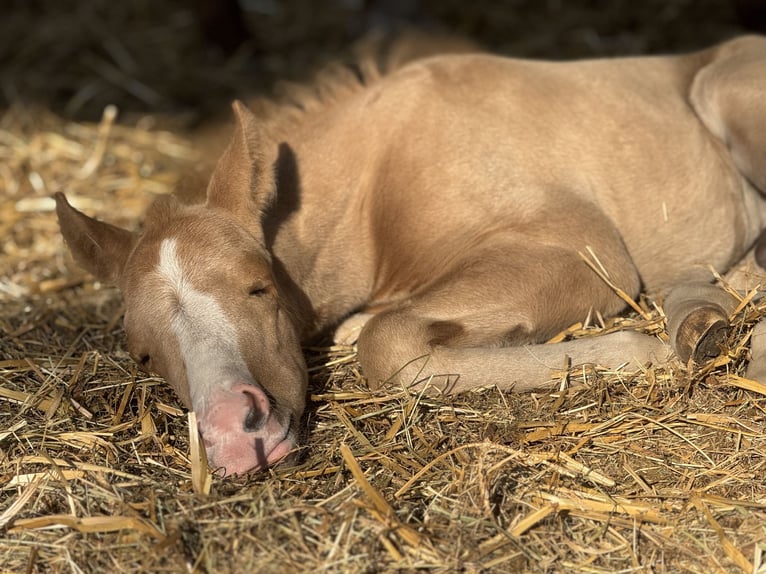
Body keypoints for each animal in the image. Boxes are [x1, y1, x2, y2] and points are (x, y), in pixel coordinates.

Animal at [56, 35, 766, 476]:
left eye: (259, 287)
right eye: (141, 353)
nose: (236, 437)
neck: (379, 180)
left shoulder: (585, 248)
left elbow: (387, 342)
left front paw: (636, 352)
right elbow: (370, 329)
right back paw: (701, 318)